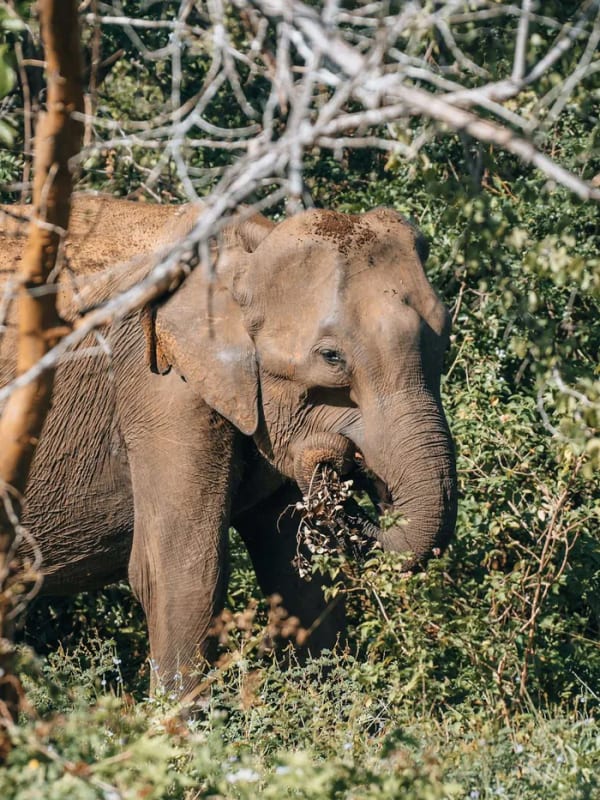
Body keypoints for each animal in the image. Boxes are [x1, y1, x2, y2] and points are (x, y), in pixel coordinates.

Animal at [0, 194, 457, 694]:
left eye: (445, 341)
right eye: (332, 358)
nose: (334, 459)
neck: (244, 255)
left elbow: (300, 581)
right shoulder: (160, 383)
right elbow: (181, 574)